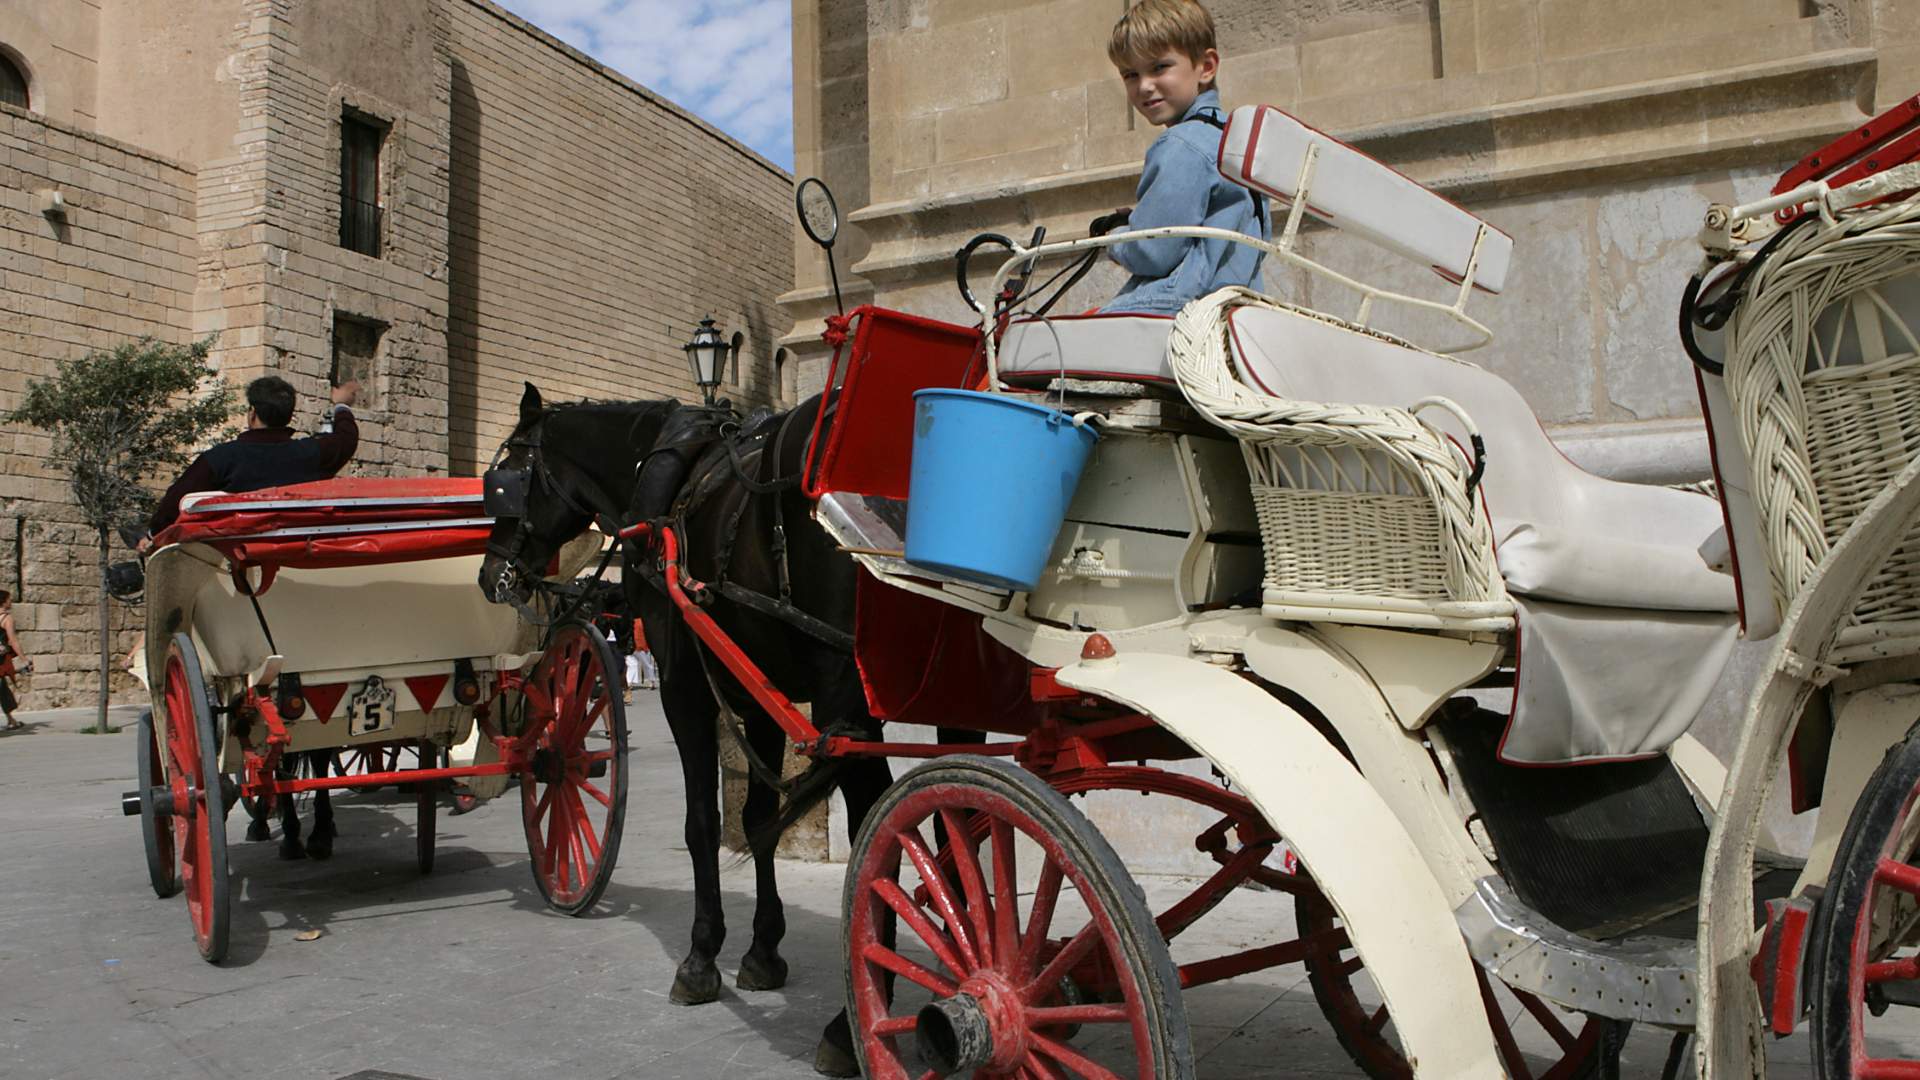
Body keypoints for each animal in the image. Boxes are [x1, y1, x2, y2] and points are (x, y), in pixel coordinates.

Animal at [476, 382, 892, 1075]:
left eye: (507, 478)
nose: (491, 575)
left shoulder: (684, 688)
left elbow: (702, 824)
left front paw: (701, 959)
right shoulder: (755, 691)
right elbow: (756, 819)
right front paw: (762, 951)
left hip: (846, 692)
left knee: (877, 823)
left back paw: (851, 1019)